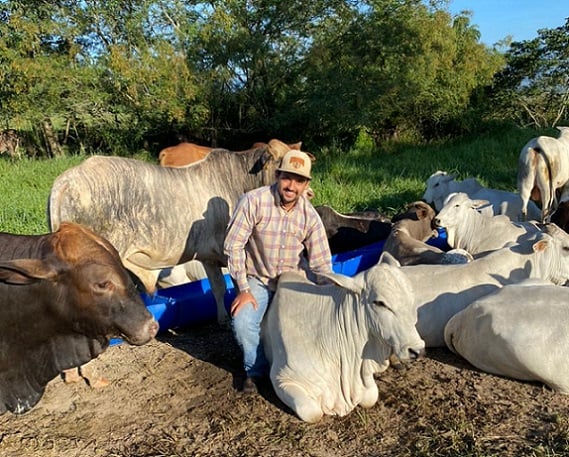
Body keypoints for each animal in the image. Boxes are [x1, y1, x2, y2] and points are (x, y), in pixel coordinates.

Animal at [260, 251, 422, 422]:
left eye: (411, 298)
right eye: (379, 303)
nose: (417, 350)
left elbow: (371, 396)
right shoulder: (281, 377)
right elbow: (312, 412)